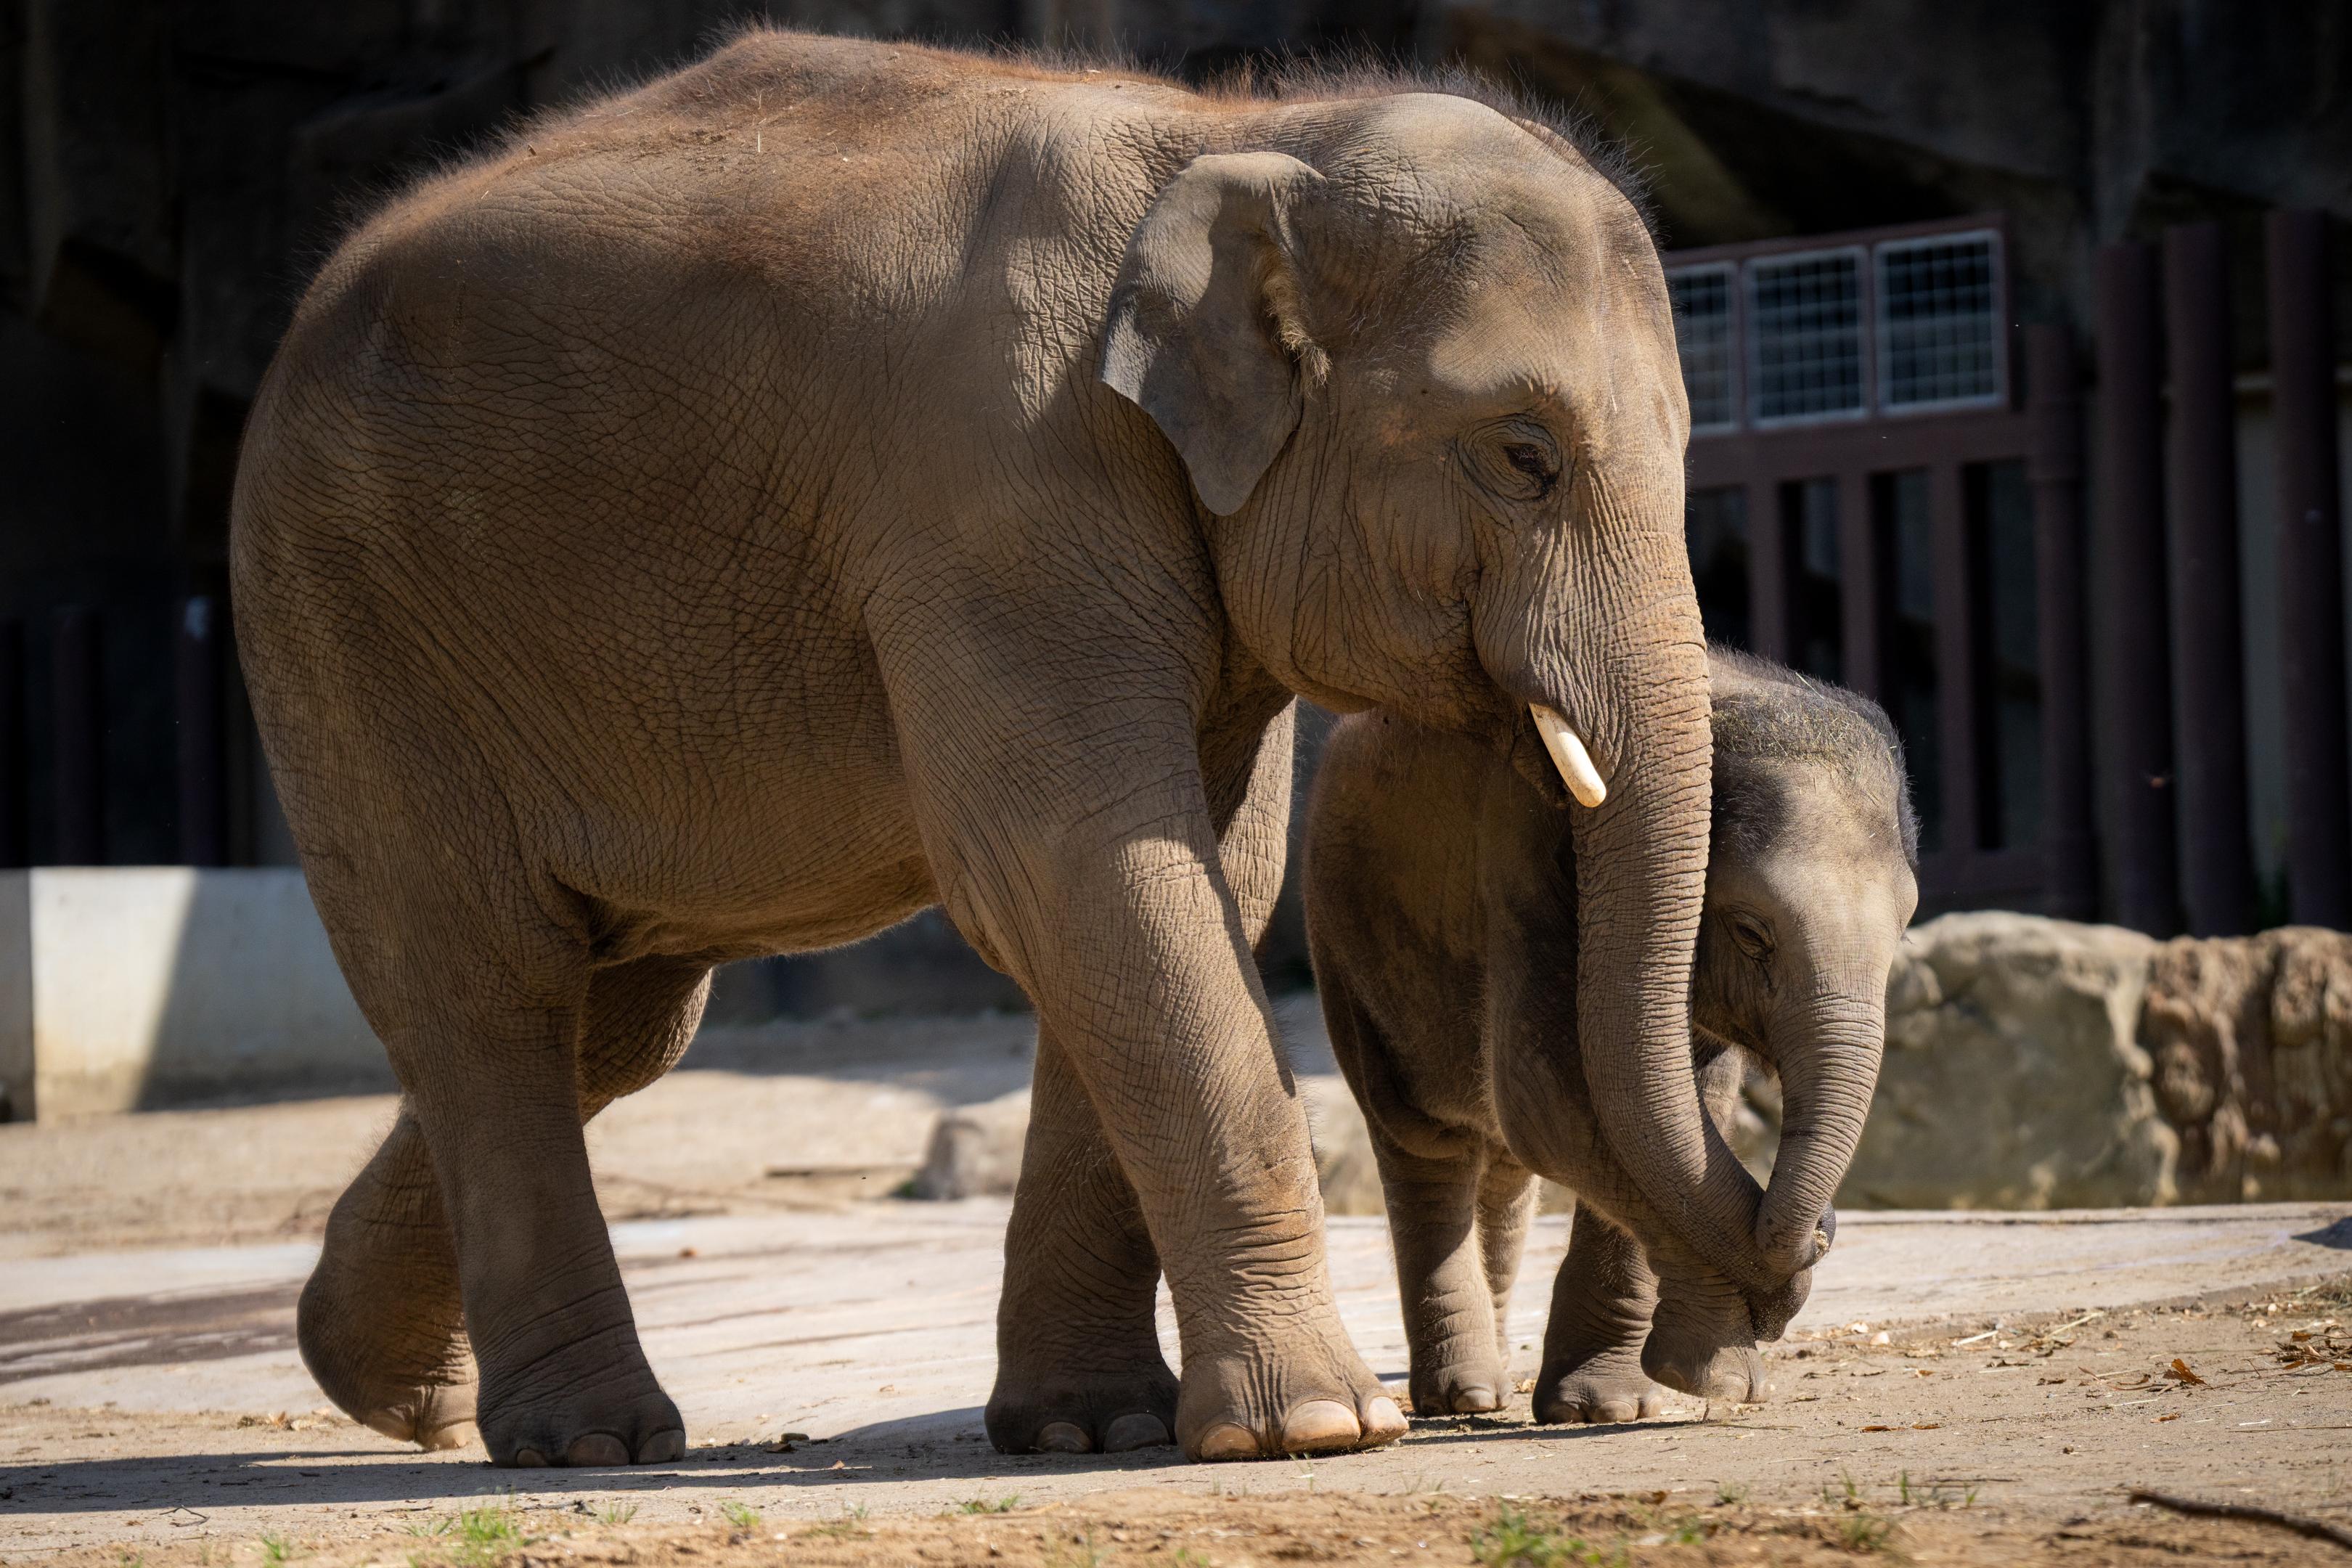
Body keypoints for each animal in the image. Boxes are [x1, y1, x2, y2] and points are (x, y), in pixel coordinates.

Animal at [230, 29, 1731, 1469]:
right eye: (1524, 455)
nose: (1701, 1369)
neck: (1234, 132)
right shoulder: (996, 487)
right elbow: (1086, 870)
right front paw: (1317, 1429)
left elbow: (1185, 881)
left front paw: (1096, 1428)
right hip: (347, 629)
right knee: (494, 989)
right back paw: (585, 1439)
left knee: (615, 1023)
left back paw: (384, 1384)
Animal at [1303, 647, 1917, 1420]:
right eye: (1751, 933)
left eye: (1905, 929)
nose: (1821, 1231)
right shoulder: (1526, 856)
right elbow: (1555, 1100)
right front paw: (1714, 1378)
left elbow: (1673, 1112)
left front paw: (1608, 1406)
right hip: (1345, 944)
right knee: (1425, 1141)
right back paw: (1464, 1394)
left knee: (1500, 1160)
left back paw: (1494, 1383)